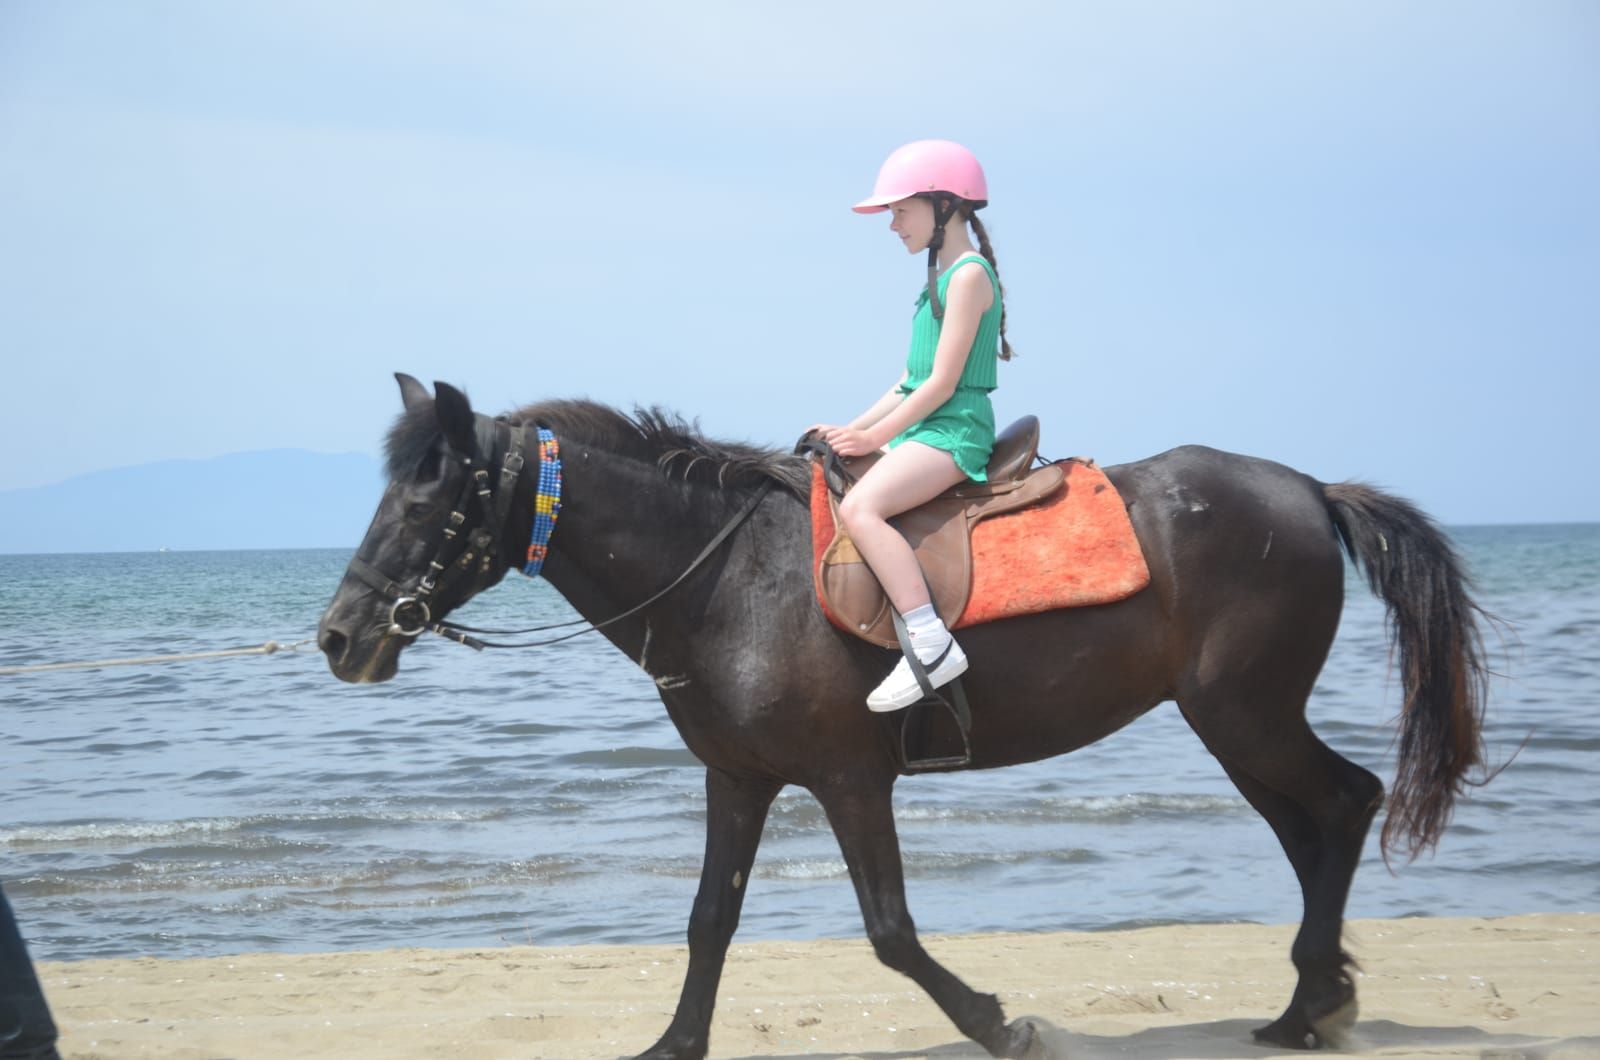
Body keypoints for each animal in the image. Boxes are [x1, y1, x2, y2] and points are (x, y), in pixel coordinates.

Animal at [317, 374, 1489, 1058]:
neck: (730, 578)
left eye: (424, 501)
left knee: (1343, 806)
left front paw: (997, 1024)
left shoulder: (848, 778)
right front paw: (674, 1044)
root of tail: (1306, 489)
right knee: (1313, 827)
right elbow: (707, 920)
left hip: (1245, 715)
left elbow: (888, 930)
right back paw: (1308, 1003)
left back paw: (1311, 1005)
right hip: (1235, 724)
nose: (337, 634)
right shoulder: (737, 777)